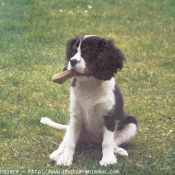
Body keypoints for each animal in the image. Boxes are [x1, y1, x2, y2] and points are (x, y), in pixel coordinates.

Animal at [40, 34, 137, 166]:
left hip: (132, 123)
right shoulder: (75, 117)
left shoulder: (109, 116)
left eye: (87, 52)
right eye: (73, 51)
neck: (89, 83)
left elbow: (107, 142)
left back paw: (118, 151)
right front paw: (65, 159)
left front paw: (108, 160)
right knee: (65, 140)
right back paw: (57, 154)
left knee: (113, 142)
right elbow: (70, 142)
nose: (72, 61)